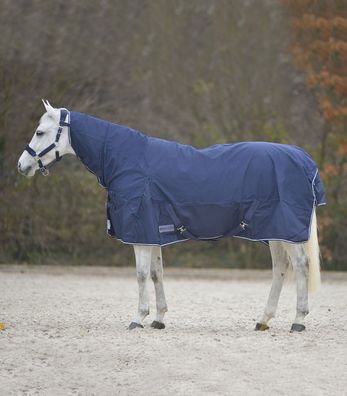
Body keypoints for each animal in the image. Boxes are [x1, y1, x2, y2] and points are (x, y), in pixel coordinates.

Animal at [17, 100, 326, 332]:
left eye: (40, 132)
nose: (22, 166)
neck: (128, 161)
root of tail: (305, 161)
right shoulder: (153, 232)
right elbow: (156, 274)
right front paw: (158, 318)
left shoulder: (141, 233)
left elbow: (141, 275)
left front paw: (138, 318)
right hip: (275, 231)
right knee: (280, 268)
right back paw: (263, 320)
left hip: (285, 230)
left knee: (300, 265)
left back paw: (298, 321)